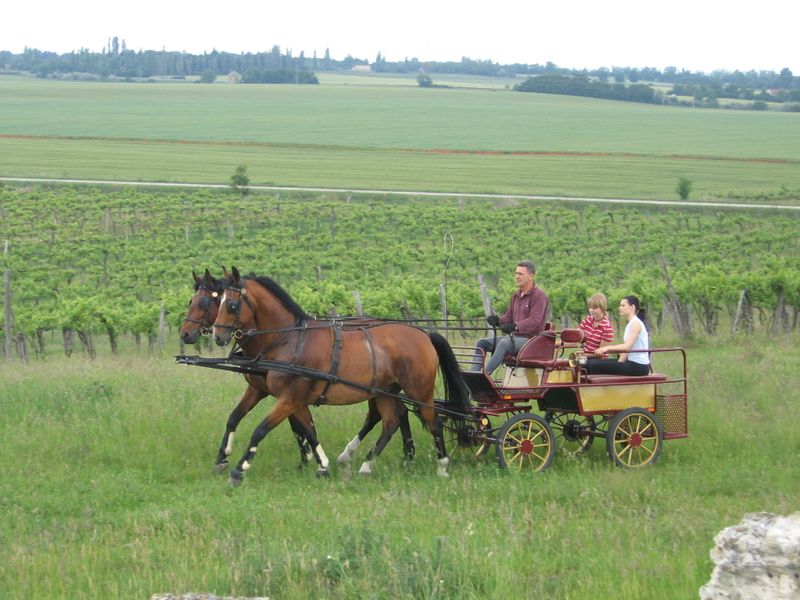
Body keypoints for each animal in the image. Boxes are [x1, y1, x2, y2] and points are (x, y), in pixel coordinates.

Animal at [216, 268, 472, 488]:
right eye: (217, 301)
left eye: (231, 304)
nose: (217, 336)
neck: (289, 340)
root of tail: (424, 334)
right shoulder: (291, 399)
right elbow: (307, 430)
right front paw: (322, 466)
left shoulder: (289, 398)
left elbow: (261, 429)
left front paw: (239, 469)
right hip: (385, 391)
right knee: (390, 421)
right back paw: (367, 464)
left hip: (419, 391)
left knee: (433, 421)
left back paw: (442, 466)